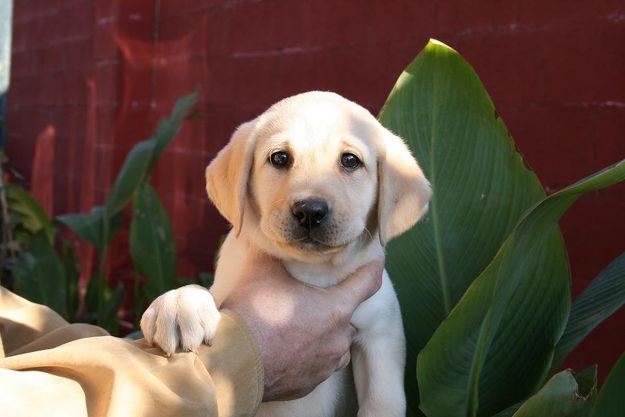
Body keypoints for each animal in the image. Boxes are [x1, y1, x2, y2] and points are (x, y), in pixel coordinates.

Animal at [140, 92, 428, 416]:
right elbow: (204, 290)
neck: (312, 272)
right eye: (280, 158)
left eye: (350, 161)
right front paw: (178, 305)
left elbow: (381, 401)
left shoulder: (381, 334)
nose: (310, 211)